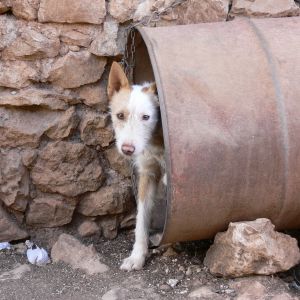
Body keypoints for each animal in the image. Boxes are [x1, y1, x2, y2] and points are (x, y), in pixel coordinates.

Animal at [107, 62, 165, 270]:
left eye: (146, 117)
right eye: (120, 115)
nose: (127, 149)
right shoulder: (148, 174)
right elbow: (141, 219)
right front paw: (137, 256)